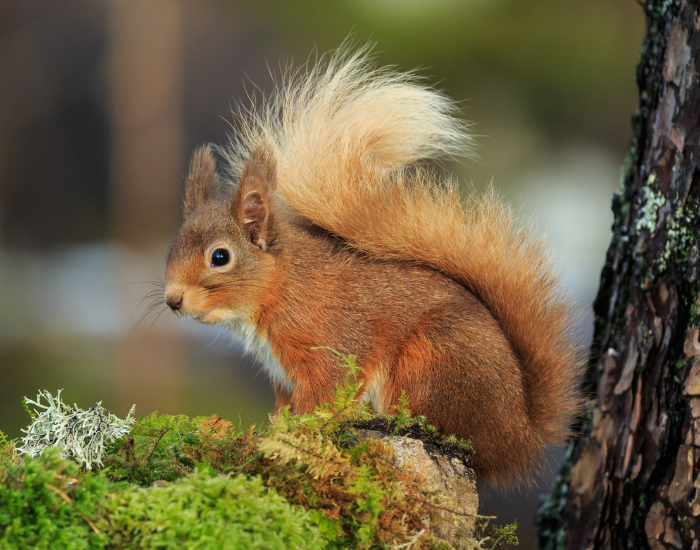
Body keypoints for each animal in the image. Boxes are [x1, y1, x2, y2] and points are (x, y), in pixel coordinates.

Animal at [163, 48, 583, 485]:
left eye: (220, 257)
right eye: (171, 247)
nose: (172, 300)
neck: (281, 287)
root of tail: (518, 435)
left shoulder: (329, 347)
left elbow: (326, 394)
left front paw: (293, 436)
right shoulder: (283, 377)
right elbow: (283, 409)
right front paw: (269, 432)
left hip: (431, 360)